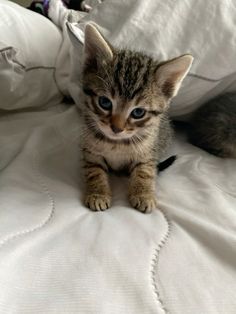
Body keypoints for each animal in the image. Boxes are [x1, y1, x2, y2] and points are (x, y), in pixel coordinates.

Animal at [76, 23, 193, 212]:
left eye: (138, 113)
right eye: (104, 102)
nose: (116, 128)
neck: (115, 143)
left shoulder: (148, 151)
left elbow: (145, 171)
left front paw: (143, 194)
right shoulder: (90, 150)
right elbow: (94, 170)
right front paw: (98, 193)